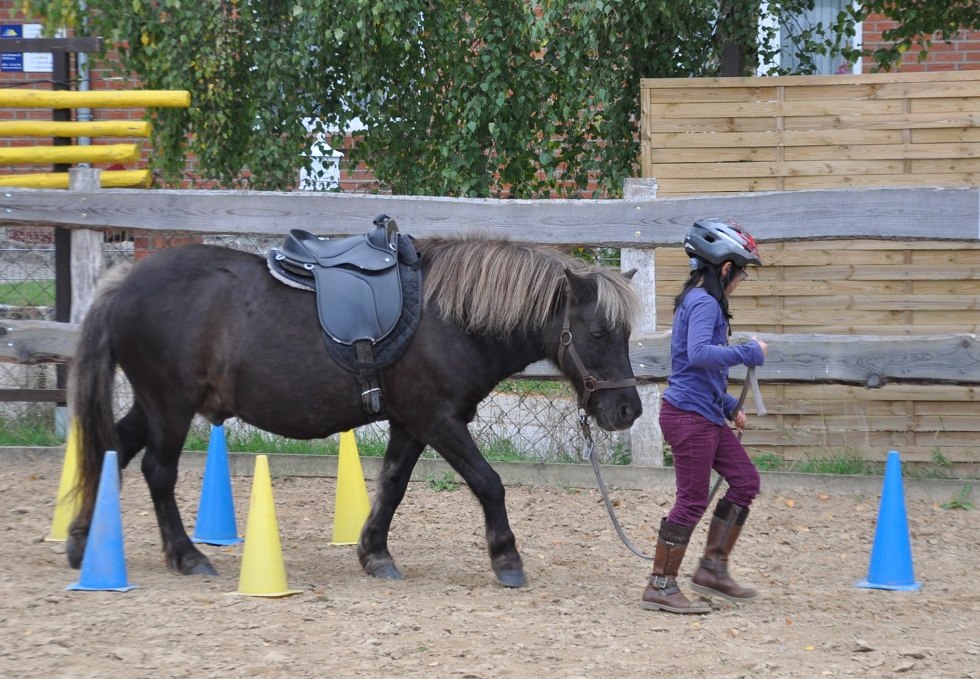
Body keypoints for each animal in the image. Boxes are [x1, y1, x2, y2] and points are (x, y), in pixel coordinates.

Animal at [65, 232, 640, 584]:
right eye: (598, 332)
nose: (628, 409)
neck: (446, 317)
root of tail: (125, 282)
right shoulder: (439, 419)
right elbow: (488, 482)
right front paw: (507, 558)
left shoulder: (410, 423)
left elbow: (392, 488)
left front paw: (375, 552)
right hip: (170, 406)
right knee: (156, 471)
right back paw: (186, 555)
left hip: (155, 405)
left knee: (115, 448)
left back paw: (83, 540)